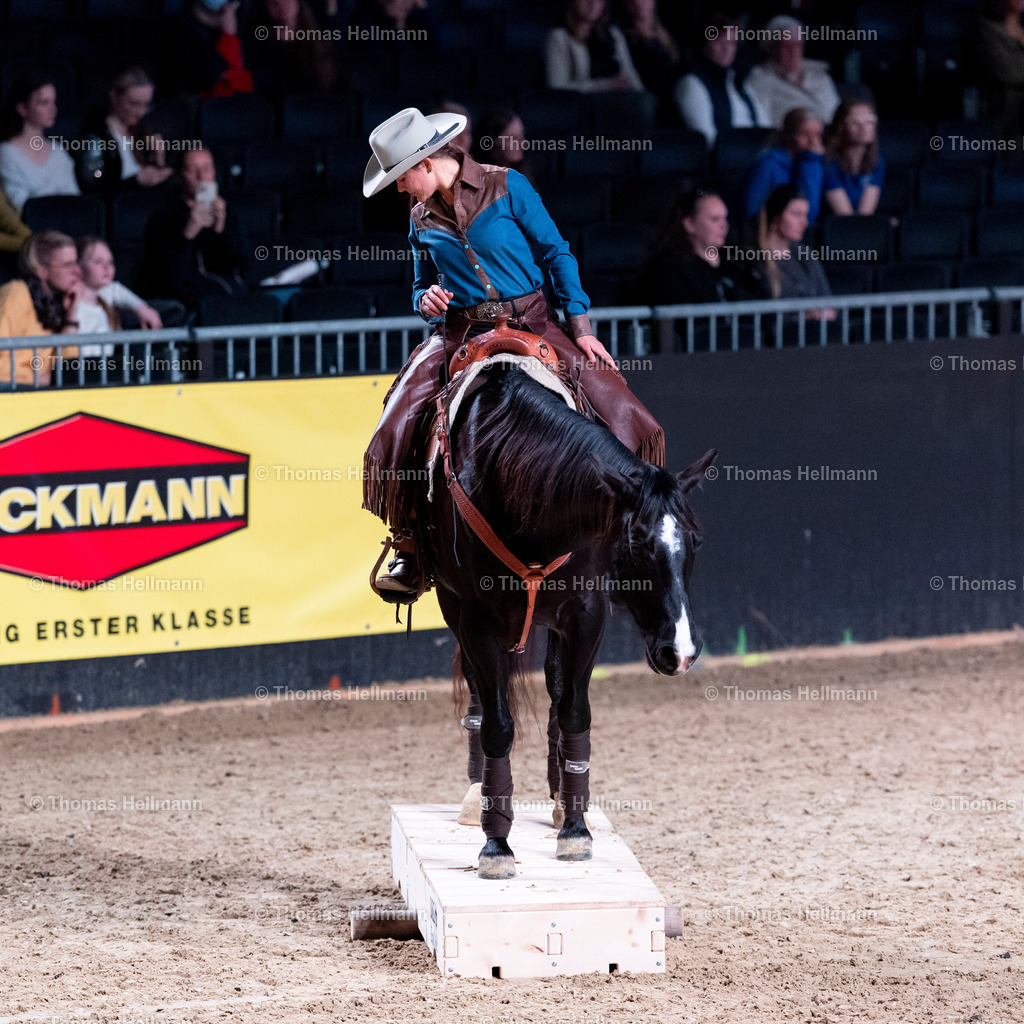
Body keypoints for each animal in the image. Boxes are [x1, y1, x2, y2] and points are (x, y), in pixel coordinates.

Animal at [421, 345, 716, 880]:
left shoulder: (585, 613)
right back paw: (476, 796)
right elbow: (497, 723)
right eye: (637, 544)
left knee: (557, 691)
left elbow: (575, 710)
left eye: (695, 542)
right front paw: (496, 844)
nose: (681, 651)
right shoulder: (475, 619)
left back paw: (561, 802)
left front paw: (575, 829)